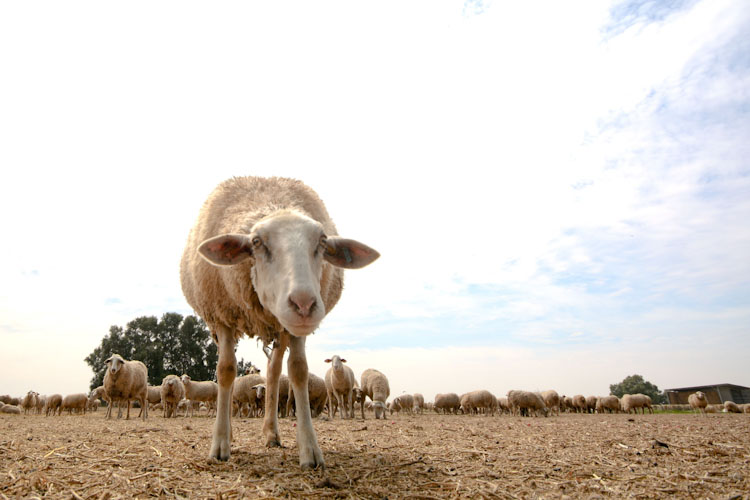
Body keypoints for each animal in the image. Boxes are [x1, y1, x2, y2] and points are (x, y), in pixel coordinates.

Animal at [179, 177, 378, 468]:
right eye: (257, 242)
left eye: (322, 242)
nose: (304, 304)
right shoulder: (223, 316)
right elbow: (225, 371)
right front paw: (220, 444)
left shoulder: (294, 330)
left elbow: (298, 371)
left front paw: (309, 449)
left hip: (281, 327)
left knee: (273, 371)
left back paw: (271, 433)